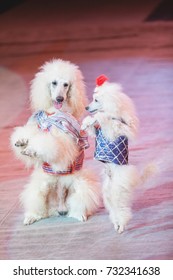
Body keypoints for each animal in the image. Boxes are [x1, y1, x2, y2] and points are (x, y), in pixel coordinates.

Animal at [10, 59, 100, 225]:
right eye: (54, 82)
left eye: (66, 85)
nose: (59, 99)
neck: (53, 114)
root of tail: (59, 209)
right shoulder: (37, 125)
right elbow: (29, 134)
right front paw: (22, 141)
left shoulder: (63, 140)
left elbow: (47, 144)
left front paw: (31, 149)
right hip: (42, 186)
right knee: (40, 207)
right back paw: (32, 216)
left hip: (78, 184)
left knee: (78, 203)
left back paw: (79, 214)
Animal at [82, 74, 155, 234]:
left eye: (96, 100)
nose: (86, 107)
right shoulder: (97, 132)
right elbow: (93, 126)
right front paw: (86, 123)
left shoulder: (114, 129)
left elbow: (103, 118)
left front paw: (97, 117)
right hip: (108, 193)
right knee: (114, 209)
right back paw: (116, 224)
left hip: (117, 192)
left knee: (122, 210)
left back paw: (121, 226)